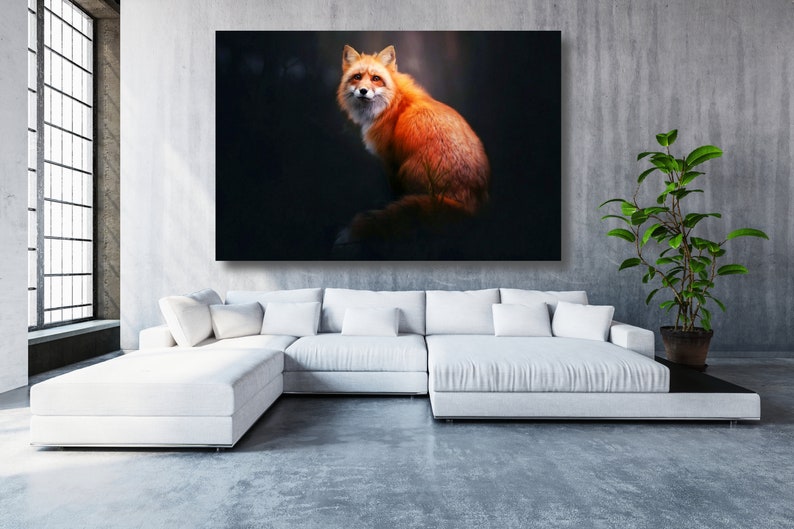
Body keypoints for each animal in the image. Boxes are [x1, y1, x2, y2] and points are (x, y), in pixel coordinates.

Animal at [336, 44, 490, 241]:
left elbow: (393, 192)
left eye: (376, 78)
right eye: (357, 77)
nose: (363, 90)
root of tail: (470, 205)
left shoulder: (390, 160)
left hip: (407, 169)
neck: (392, 103)